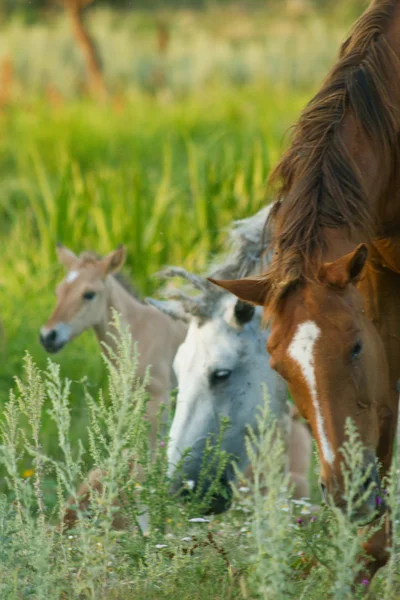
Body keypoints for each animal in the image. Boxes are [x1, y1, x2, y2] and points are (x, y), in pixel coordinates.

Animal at [209, 0, 400, 580]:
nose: (346, 492)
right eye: (278, 367)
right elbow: (385, 409)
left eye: (354, 347)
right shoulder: (375, 277)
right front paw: (366, 554)